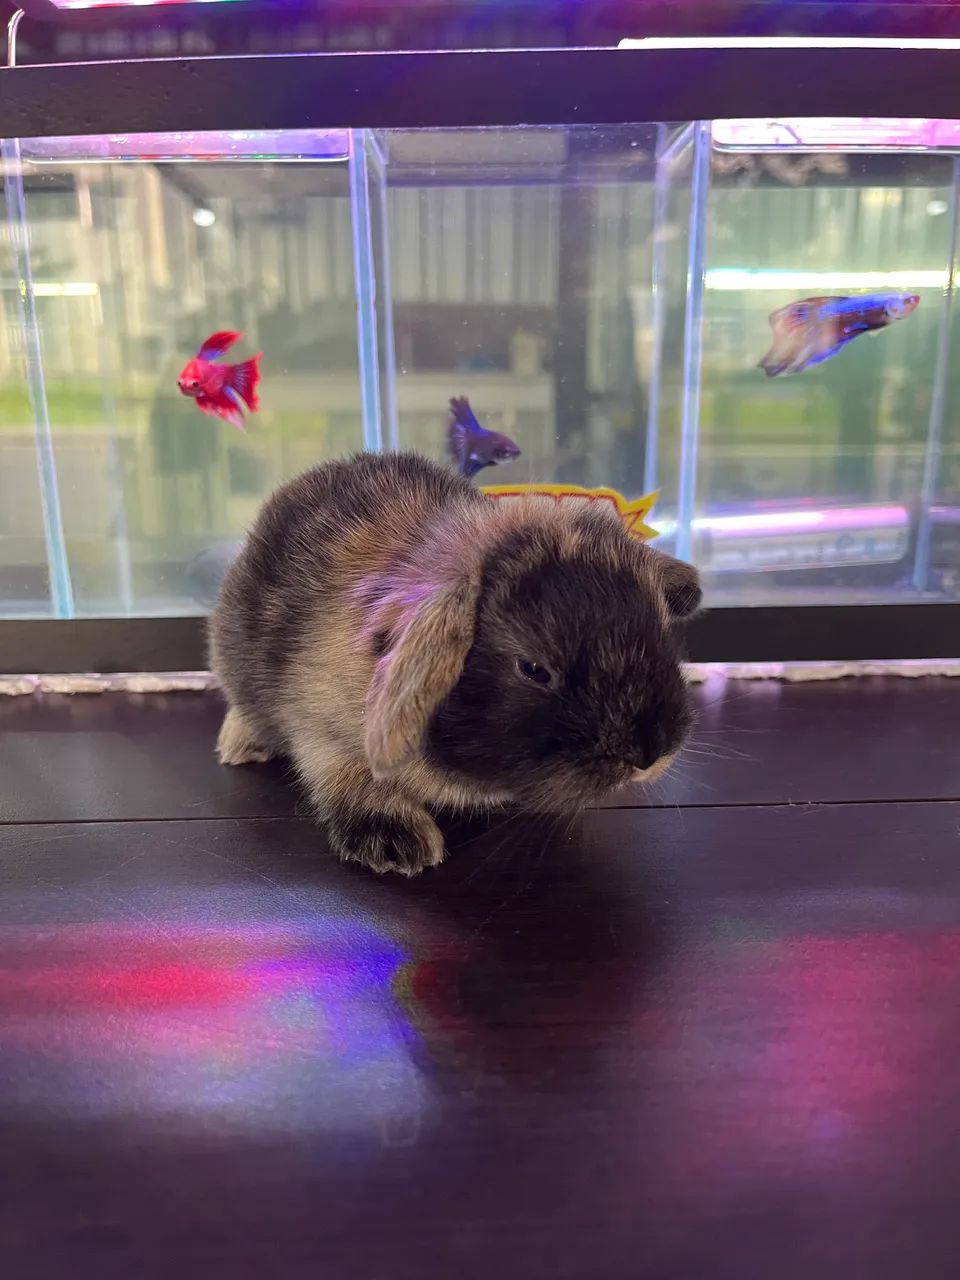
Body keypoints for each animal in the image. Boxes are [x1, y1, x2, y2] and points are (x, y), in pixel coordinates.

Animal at [209, 452, 701, 876]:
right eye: (533, 668)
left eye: (659, 630)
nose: (650, 755)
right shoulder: (320, 732)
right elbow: (348, 777)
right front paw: (398, 846)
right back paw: (238, 747)